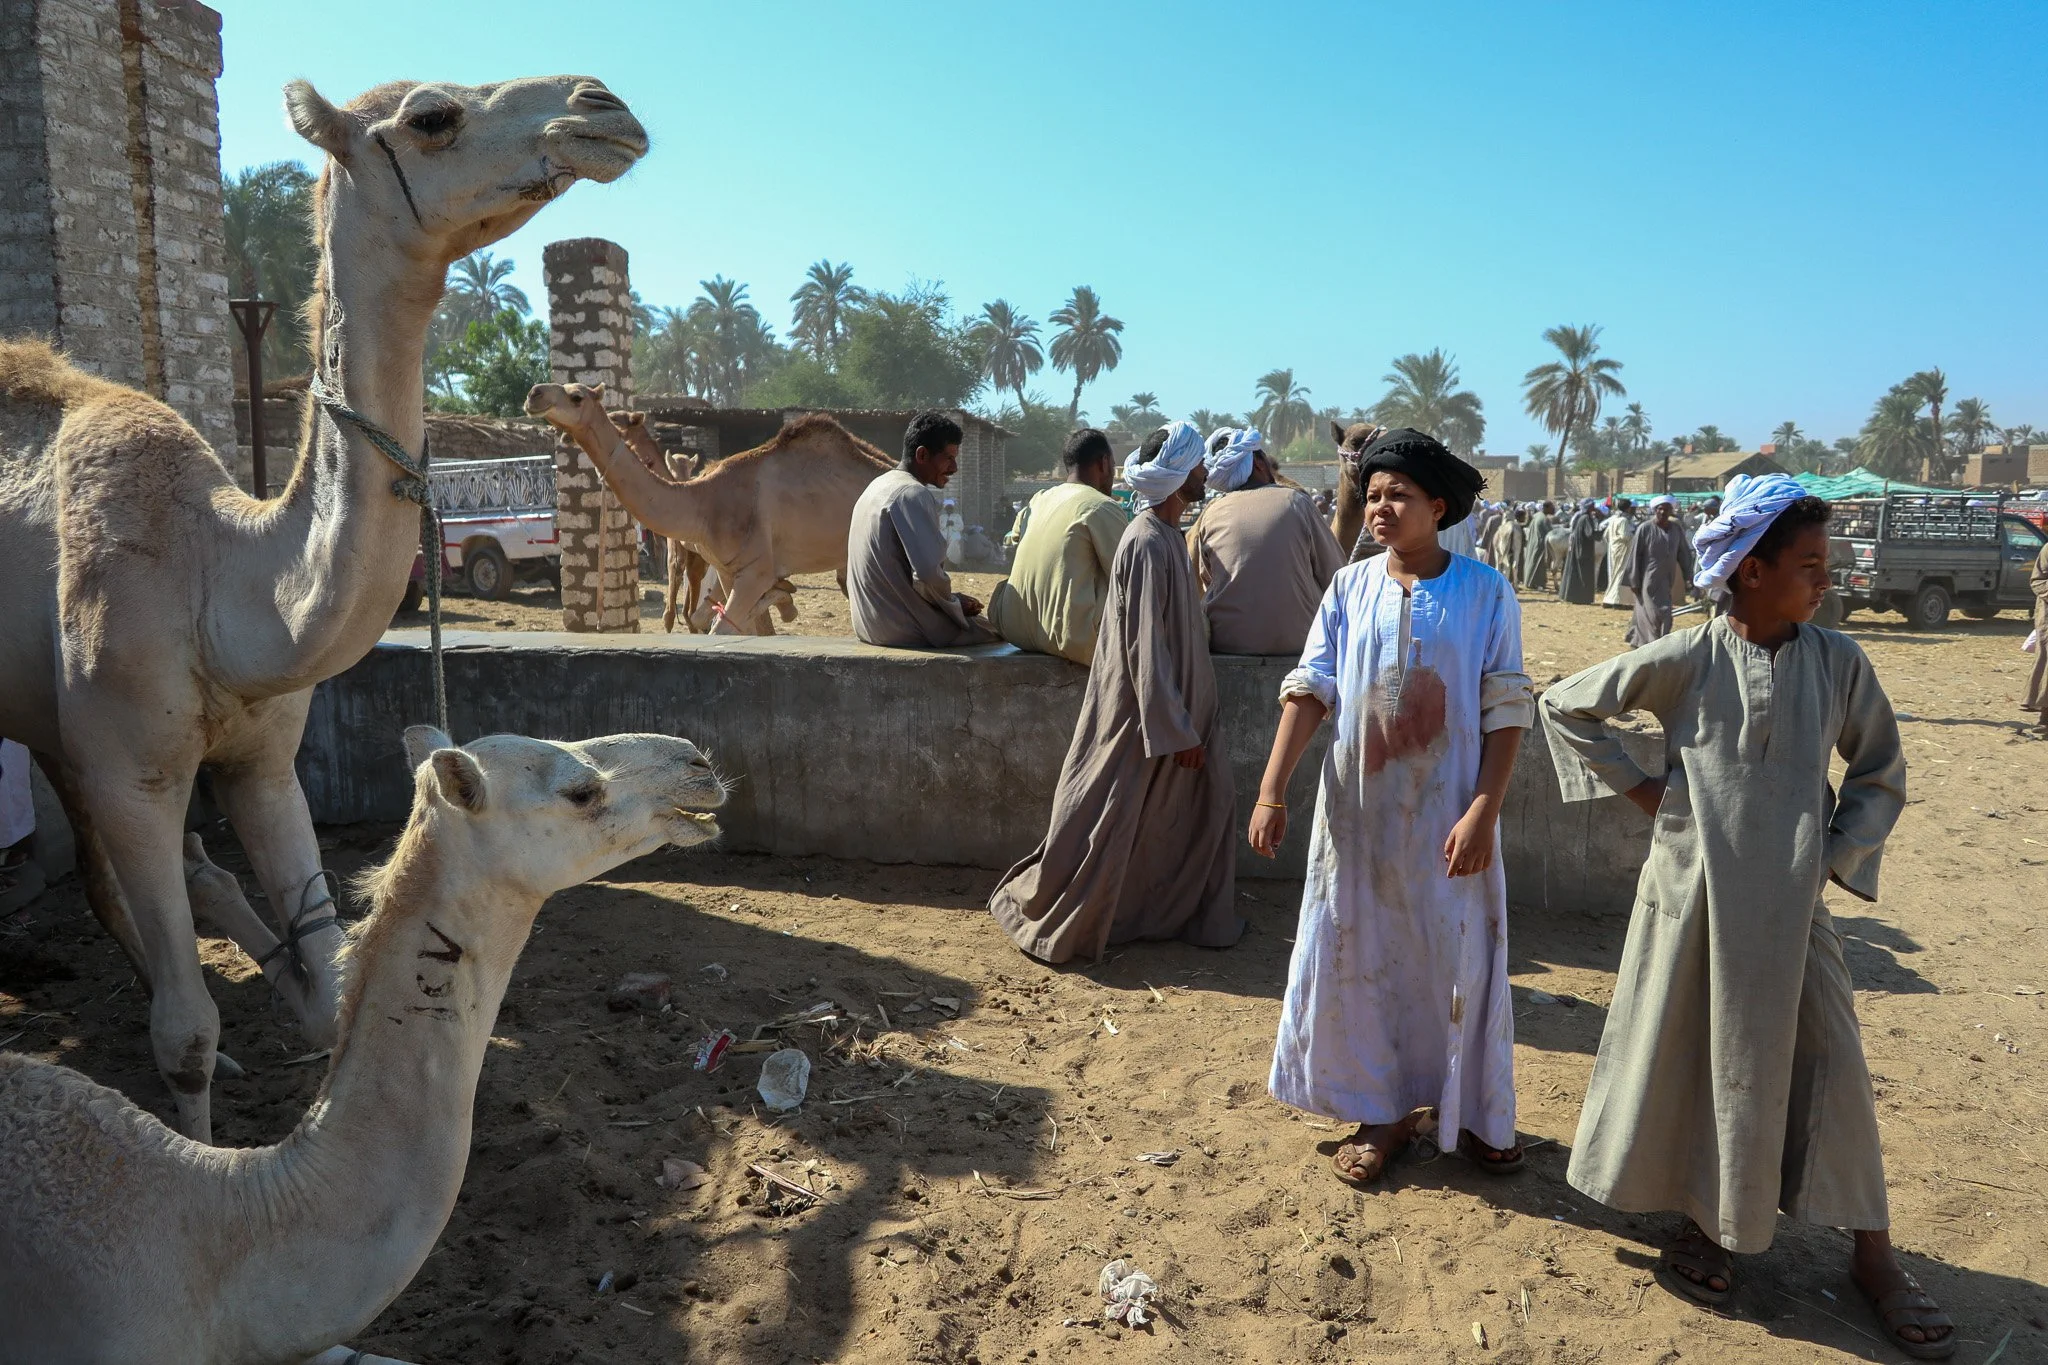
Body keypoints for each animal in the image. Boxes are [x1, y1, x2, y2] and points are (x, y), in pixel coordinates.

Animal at [0, 76, 647, 1140]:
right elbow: (186, 1033)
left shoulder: (264, 760)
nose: (603, 105)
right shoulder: (131, 769)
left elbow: (327, 969)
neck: (215, 580)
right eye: (432, 117)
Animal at [529, 384, 885, 634]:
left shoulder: (756, 571)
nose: (535, 394)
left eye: (576, 396)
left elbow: (721, 627)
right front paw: (782, 601)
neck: (703, 501)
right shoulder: (728, 570)